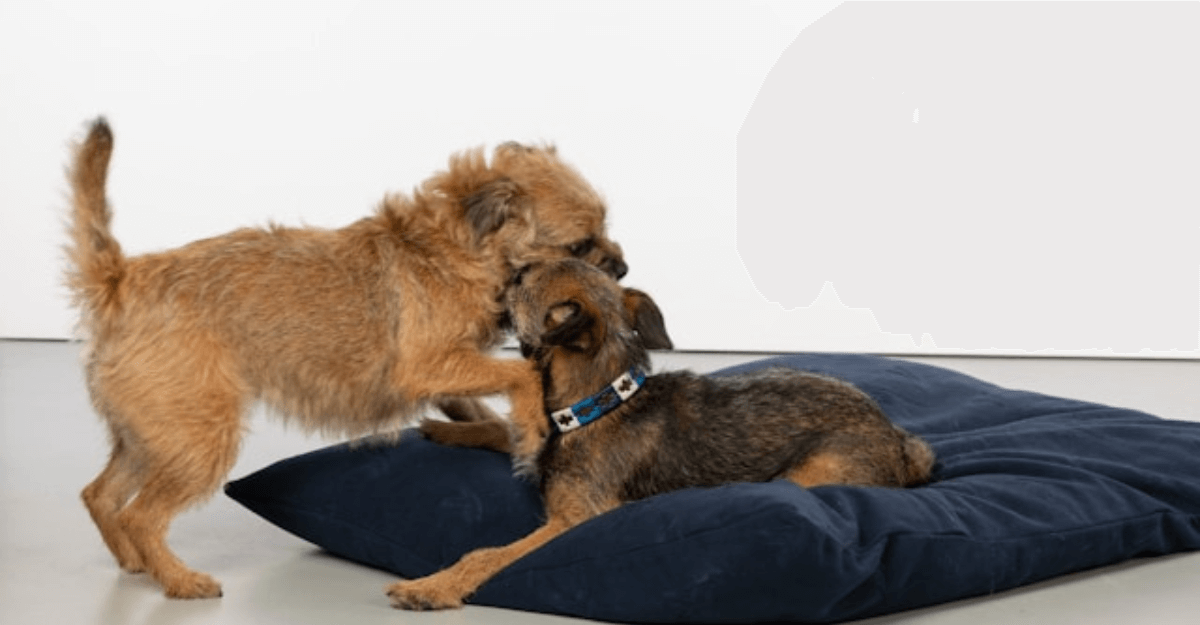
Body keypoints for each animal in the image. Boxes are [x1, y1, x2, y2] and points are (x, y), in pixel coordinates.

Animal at [66, 118, 628, 599]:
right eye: (579, 245)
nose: (621, 267)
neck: (455, 247)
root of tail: (121, 279)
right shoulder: (427, 366)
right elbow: (520, 370)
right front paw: (532, 427)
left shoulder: (450, 375)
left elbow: (482, 405)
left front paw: (499, 431)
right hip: (199, 438)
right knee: (140, 515)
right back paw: (180, 581)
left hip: (152, 435)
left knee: (100, 495)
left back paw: (136, 562)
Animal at [388, 257, 931, 609]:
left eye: (521, 281)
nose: (505, 269)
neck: (596, 404)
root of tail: (900, 441)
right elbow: (502, 428)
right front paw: (442, 424)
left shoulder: (573, 520)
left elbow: (489, 553)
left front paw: (431, 586)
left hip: (807, 476)